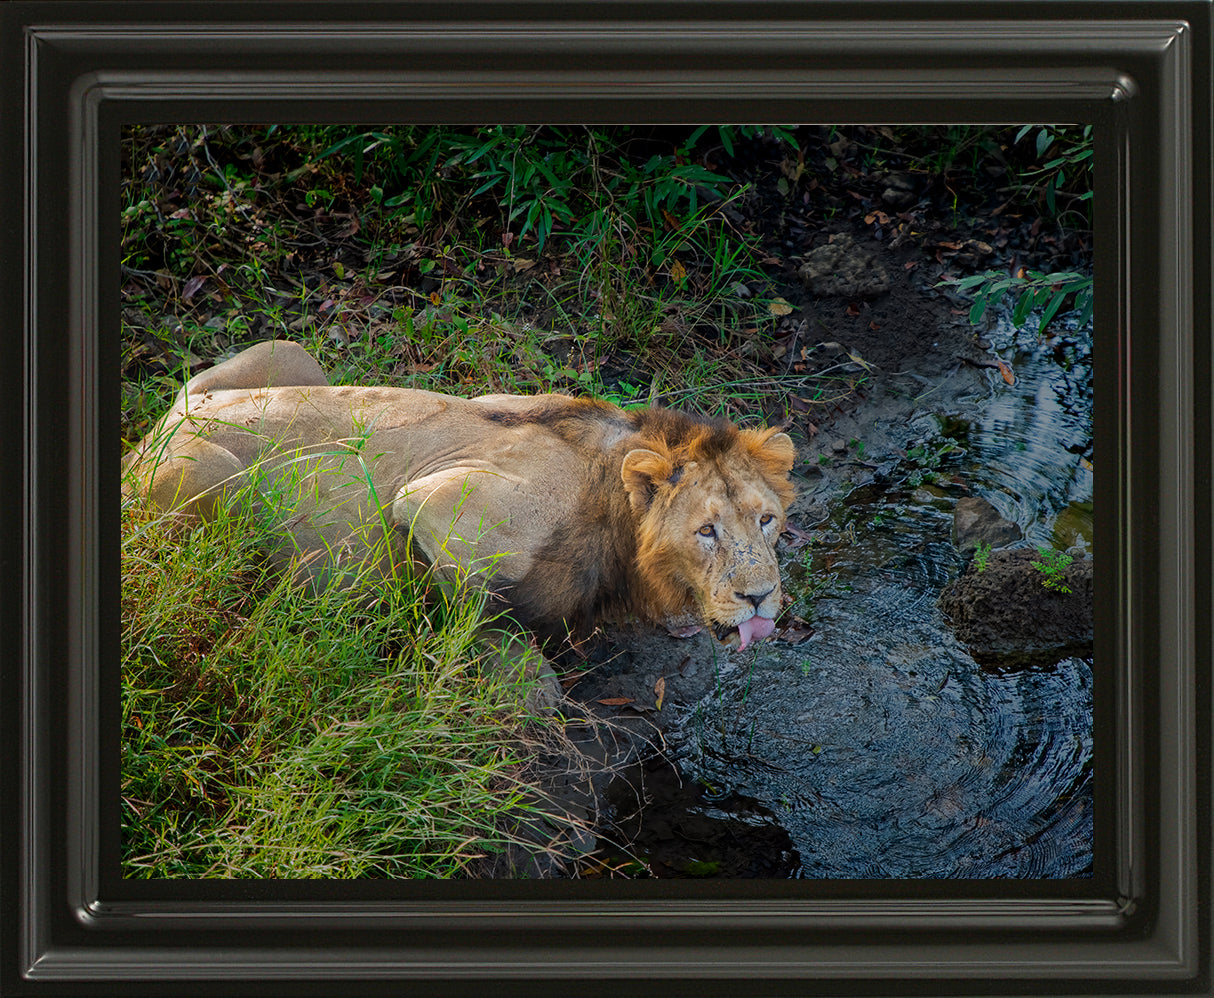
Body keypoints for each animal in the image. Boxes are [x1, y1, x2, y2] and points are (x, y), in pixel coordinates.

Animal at [123, 339, 797, 663]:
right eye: (706, 530)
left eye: (767, 521)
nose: (760, 596)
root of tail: (161, 429)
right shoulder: (441, 503)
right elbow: (470, 607)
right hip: (204, 476)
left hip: (287, 353)